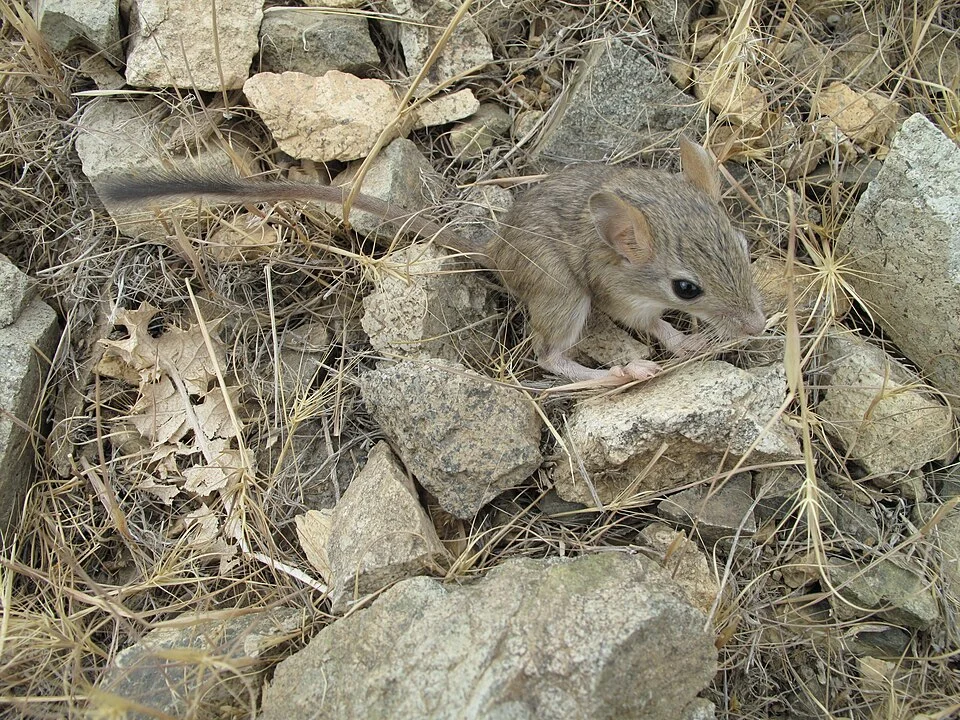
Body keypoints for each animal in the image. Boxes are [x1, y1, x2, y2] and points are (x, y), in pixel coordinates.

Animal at [100, 138, 765, 384]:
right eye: (686, 288)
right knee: (549, 357)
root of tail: (494, 248)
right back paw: (621, 373)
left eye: (743, 247)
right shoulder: (620, 297)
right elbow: (654, 325)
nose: (760, 327)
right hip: (564, 295)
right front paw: (683, 343)